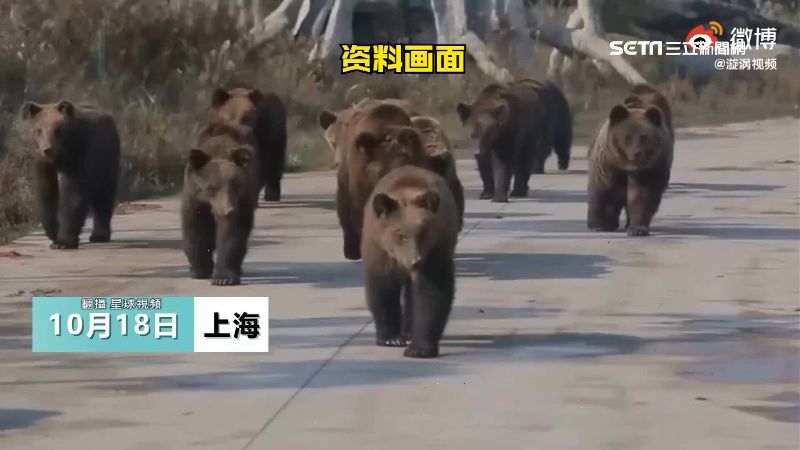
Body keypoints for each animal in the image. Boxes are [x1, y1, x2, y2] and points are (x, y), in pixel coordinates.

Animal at [20, 100, 121, 249]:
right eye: (39, 130)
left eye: (57, 129)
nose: (47, 149)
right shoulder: (43, 164)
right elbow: (46, 194)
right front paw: (53, 233)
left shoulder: (80, 154)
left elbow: (73, 193)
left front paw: (62, 242)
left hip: (106, 160)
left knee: (104, 196)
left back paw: (99, 235)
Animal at [182, 121, 261, 285]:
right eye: (211, 187)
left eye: (235, 184)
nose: (227, 210)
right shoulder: (195, 198)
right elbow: (196, 228)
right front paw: (199, 270)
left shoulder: (241, 200)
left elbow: (232, 233)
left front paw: (224, 277)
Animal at [361, 164, 459, 358]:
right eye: (400, 234)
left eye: (423, 232)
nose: (415, 261)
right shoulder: (380, 251)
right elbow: (382, 289)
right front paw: (390, 337)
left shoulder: (436, 248)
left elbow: (431, 293)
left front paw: (419, 347)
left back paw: (408, 332)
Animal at [586, 87, 674, 237]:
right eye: (627, 136)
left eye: (643, 137)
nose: (636, 153)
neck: (626, 165)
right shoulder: (607, 163)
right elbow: (603, 190)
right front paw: (599, 225)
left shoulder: (649, 168)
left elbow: (642, 195)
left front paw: (637, 229)